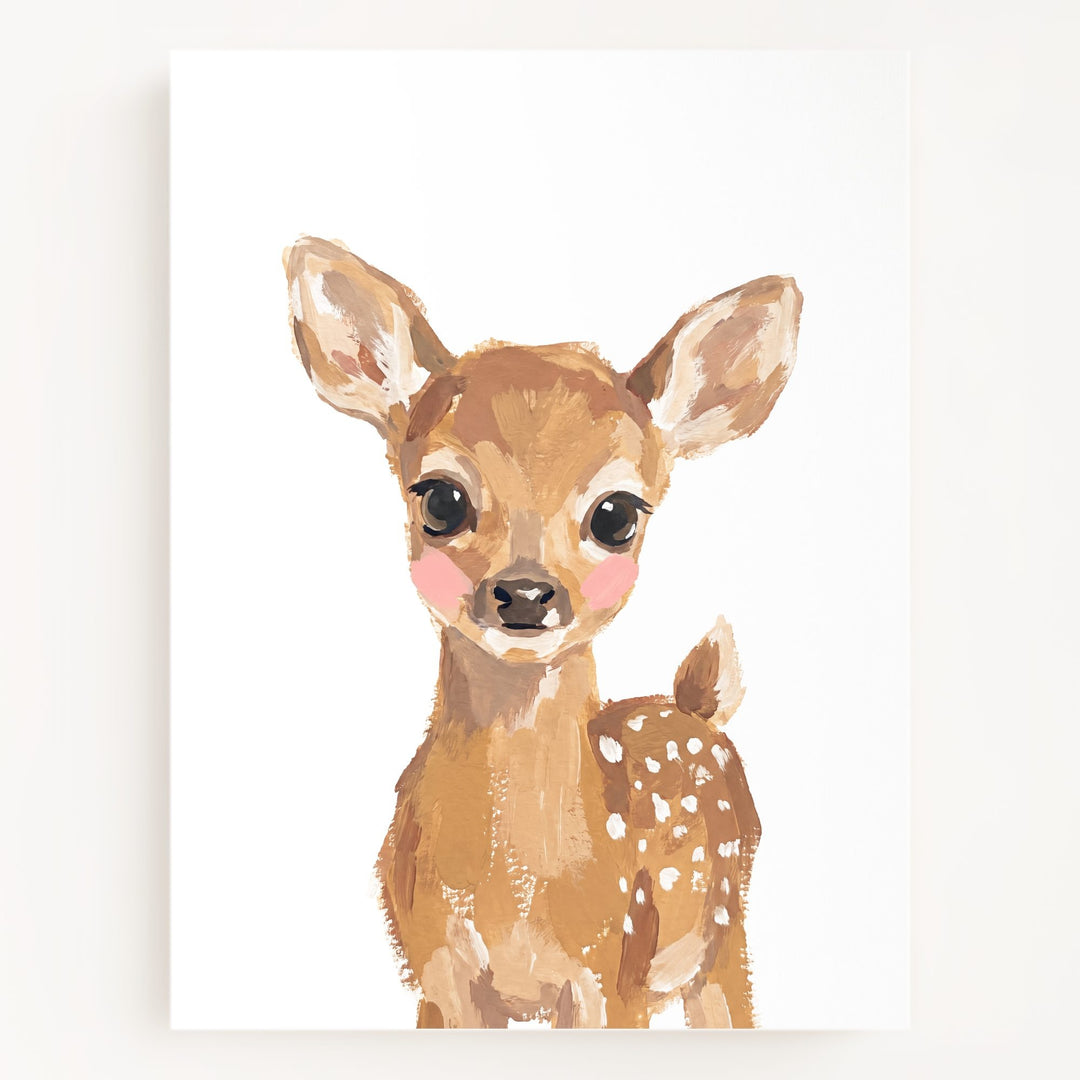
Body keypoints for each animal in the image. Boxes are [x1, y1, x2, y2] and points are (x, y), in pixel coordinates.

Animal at [284, 236, 801, 1028]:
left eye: (617, 513)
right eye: (440, 498)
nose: (525, 593)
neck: (517, 893)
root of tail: (696, 708)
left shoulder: (611, 975)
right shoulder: (437, 977)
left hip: (723, 934)